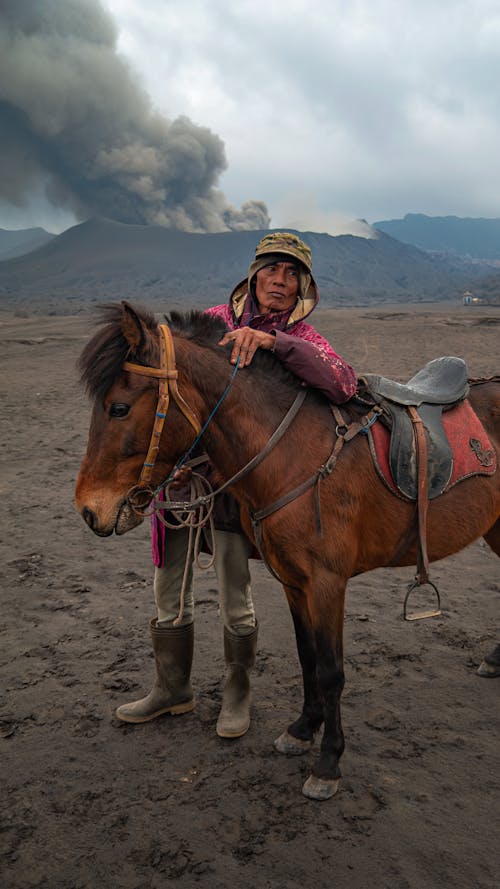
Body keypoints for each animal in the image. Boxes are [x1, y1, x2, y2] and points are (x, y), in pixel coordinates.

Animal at [75, 302, 500, 800]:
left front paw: (329, 761)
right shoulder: (294, 582)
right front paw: (302, 729)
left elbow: (331, 670)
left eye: (119, 408)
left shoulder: (327, 583)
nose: (88, 510)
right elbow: (307, 657)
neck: (291, 452)